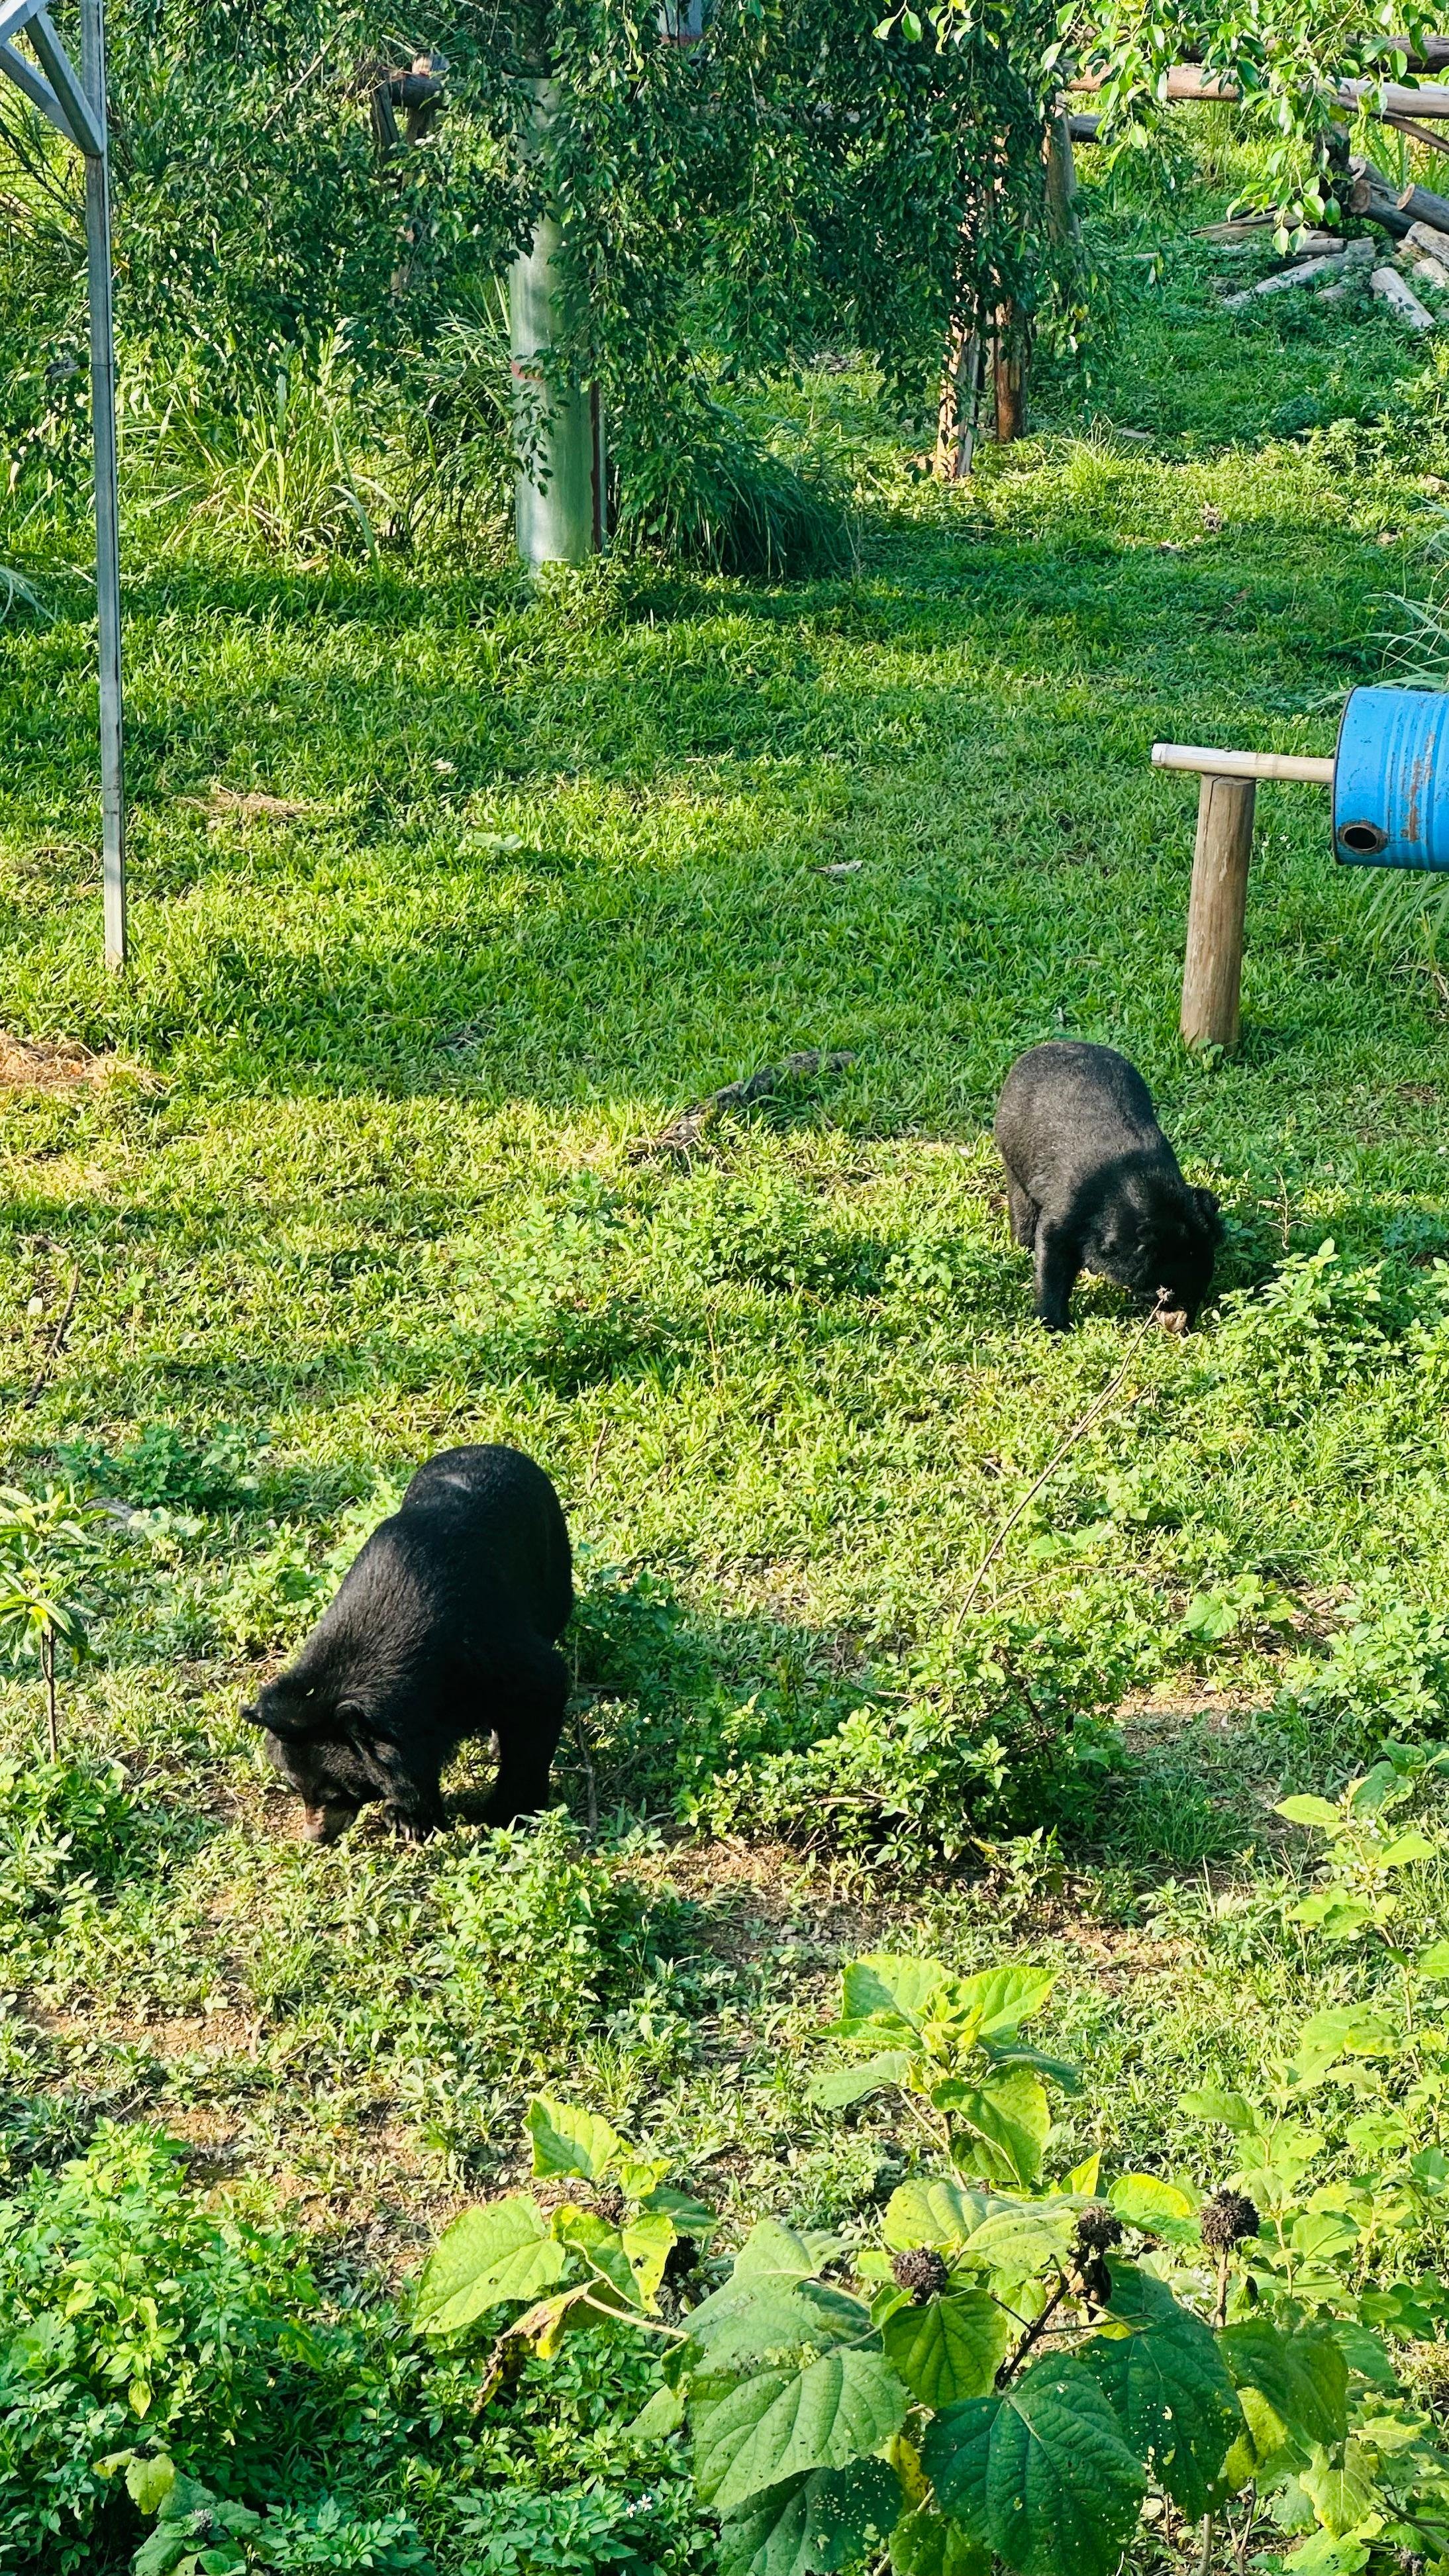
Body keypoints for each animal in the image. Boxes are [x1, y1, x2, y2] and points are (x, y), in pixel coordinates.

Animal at [243, 1443, 573, 1843]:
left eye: (337, 1792)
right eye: (295, 1786)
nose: (314, 1836)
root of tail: (492, 1447)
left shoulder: (482, 1645)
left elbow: (542, 1690)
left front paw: (509, 1813)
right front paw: (409, 1818)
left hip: (550, 1568)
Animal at [993, 1041, 1221, 1333]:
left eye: (1198, 1293)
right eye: (1165, 1294)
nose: (1180, 1326)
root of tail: (1046, 1046)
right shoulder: (1073, 1197)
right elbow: (1053, 1246)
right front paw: (1053, 1324)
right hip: (1014, 1149)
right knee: (1023, 1206)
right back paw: (1022, 1245)